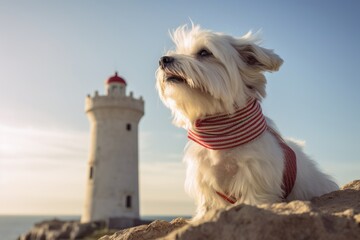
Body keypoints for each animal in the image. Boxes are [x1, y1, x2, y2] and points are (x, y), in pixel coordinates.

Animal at [155, 24, 338, 219]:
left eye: (204, 52)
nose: (163, 60)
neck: (221, 132)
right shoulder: (205, 182)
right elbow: (208, 205)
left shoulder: (255, 179)